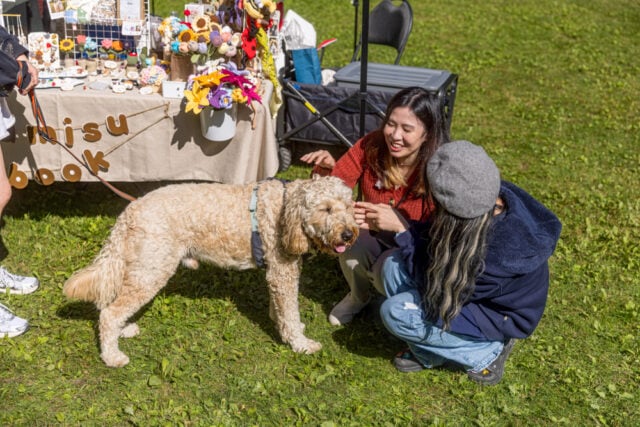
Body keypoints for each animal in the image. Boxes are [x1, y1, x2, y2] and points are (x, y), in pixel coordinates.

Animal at [63, 177, 360, 368]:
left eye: (348, 206)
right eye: (326, 209)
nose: (349, 234)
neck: (287, 209)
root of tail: (129, 211)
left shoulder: (278, 274)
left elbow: (280, 309)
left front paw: (286, 327)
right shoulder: (283, 272)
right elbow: (289, 310)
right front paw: (300, 342)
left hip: (141, 269)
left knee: (112, 306)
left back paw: (123, 331)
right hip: (152, 270)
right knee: (110, 313)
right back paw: (112, 356)